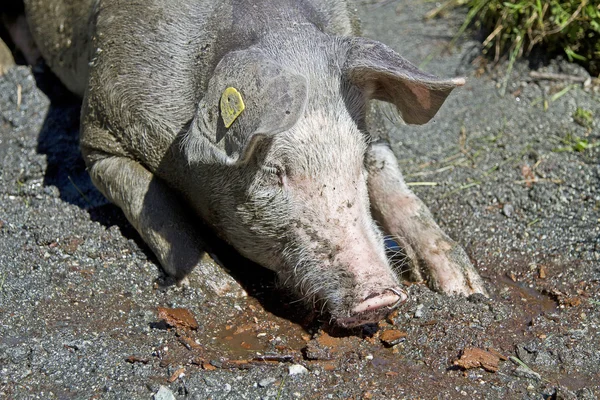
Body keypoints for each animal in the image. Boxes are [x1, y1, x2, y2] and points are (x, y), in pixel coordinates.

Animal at [19, 0, 488, 326]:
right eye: (274, 172)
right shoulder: (99, 134)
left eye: (355, 159)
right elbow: (154, 207)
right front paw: (227, 294)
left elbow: (392, 183)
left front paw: (467, 289)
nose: (382, 296)